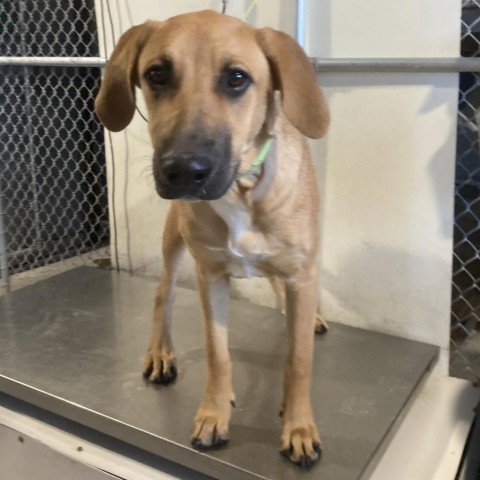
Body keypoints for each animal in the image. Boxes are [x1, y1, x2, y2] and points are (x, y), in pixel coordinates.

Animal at [96, 9, 332, 466]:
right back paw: (160, 352)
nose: (184, 171)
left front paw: (298, 427)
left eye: (236, 78)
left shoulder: (301, 271)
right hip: (174, 242)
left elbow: (298, 360)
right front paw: (213, 414)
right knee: (163, 293)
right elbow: (217, 354)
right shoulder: (211, 275)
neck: (242, 188)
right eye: (156, 74)